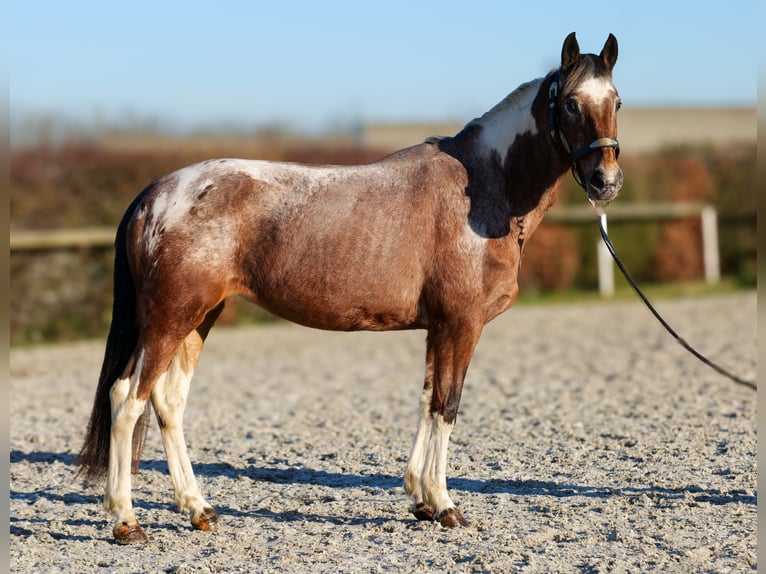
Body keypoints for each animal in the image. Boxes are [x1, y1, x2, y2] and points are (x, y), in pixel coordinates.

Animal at [78, 31, 624, 544]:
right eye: (570, 102)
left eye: (616, 101)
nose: (606, 180)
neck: (485, 187)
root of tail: (155, 194)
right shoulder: (461, 324)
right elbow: (447, 406)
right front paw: (445, 505)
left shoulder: (438, 328)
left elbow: (427, 401)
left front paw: (421, 500)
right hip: (170, 317)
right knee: (127, 399)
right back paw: (126, 521)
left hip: (198, 318)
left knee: (169, 403)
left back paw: (198, 509)